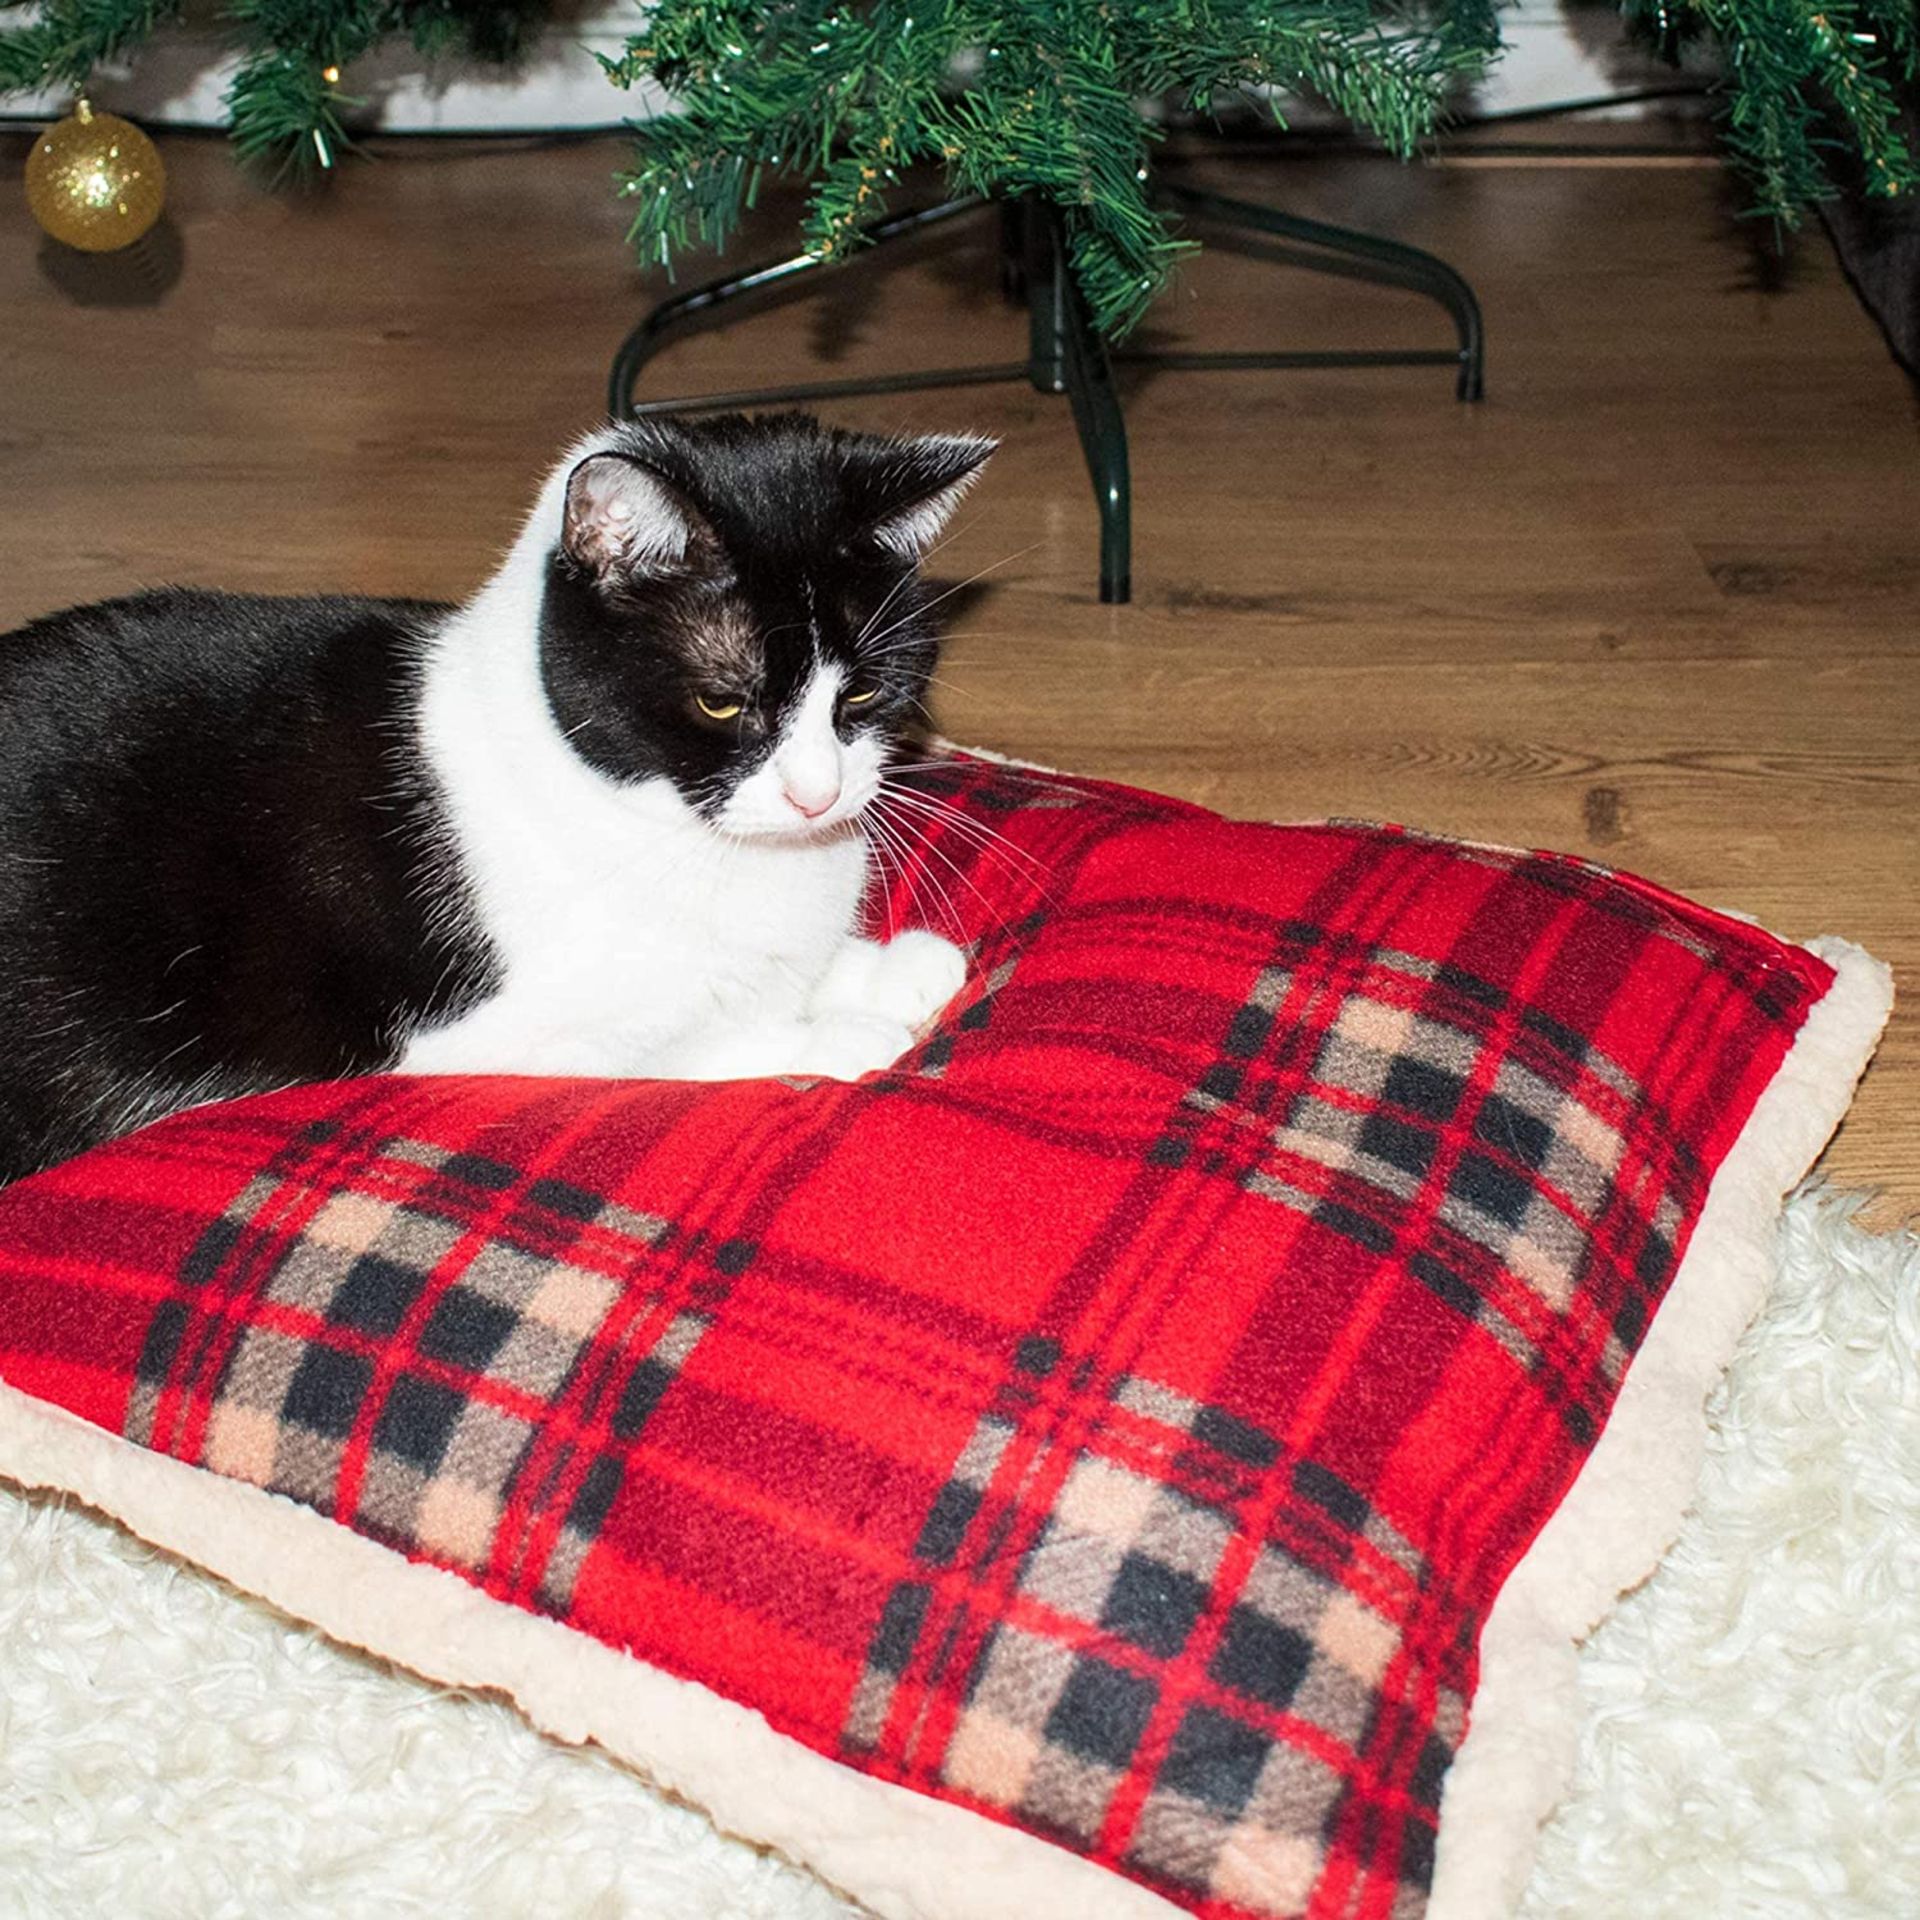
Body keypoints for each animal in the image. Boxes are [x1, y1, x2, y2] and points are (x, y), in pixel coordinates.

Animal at [0, 412, 990, 1175]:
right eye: (721, 701)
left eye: (862, 694)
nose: (818, 796)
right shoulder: (475, 1040)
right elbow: (678, 1047)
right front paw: (839, 1038)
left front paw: (888, 969)